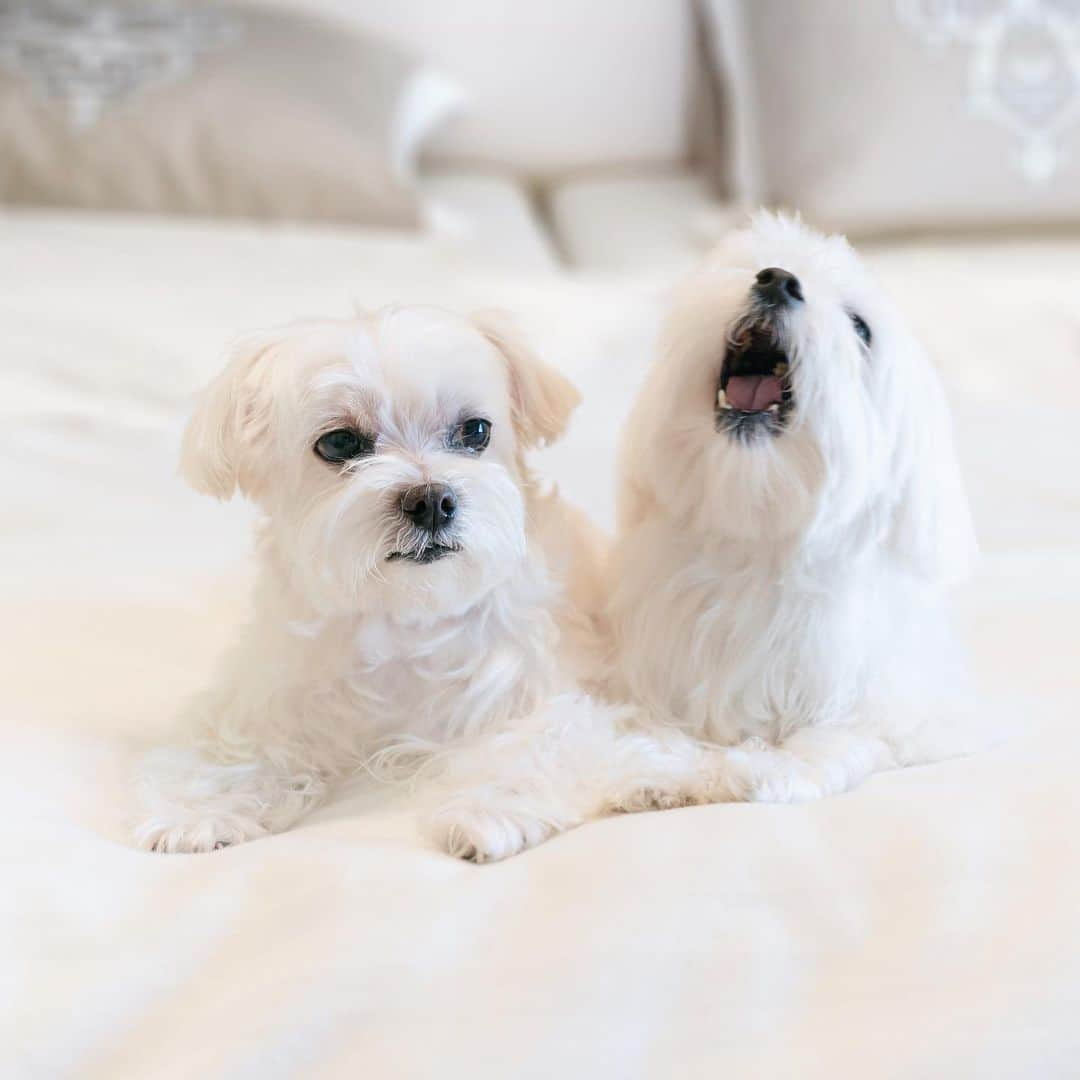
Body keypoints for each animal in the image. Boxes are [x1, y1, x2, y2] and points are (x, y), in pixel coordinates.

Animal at [136, 306, 639, 859]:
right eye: (339, 443)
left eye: (475, 431)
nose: (431, 500)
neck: (405, 615)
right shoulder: (271, 694)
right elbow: (236, 751)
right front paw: (199, 813)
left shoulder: (533, 690)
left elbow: (529, 743)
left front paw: (487, 809)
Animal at [609, 214, 980, 807]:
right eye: (755, 266)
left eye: (860, 328)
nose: (778, 281)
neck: (756, 530)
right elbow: (652, 726)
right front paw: (659, 772)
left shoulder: (902, 706)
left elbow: (842, 735)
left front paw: (760, 768)